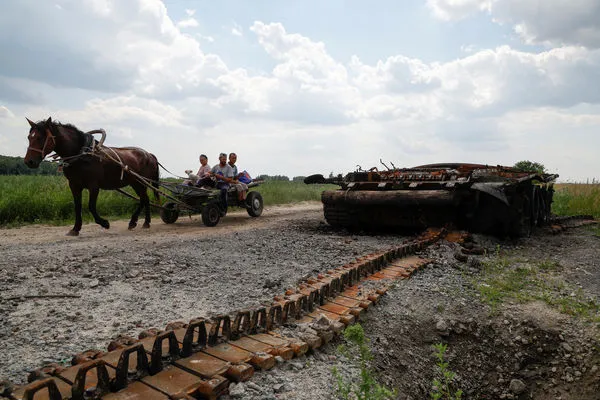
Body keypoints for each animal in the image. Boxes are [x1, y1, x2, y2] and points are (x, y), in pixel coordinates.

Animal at [24, 116, 159, 234]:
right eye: (29, 137)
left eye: (40, 138)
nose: (28, 162)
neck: (81, 154)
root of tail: (149, 154)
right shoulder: (74, 185)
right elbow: (77, 206)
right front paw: (75, 229)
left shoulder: (93, 186)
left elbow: (91, 206)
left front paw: (104, 223)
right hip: (135, 183)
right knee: (145, 199)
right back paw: (144, 222)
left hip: (141, 182)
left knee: (143, 199)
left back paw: (135, 221)